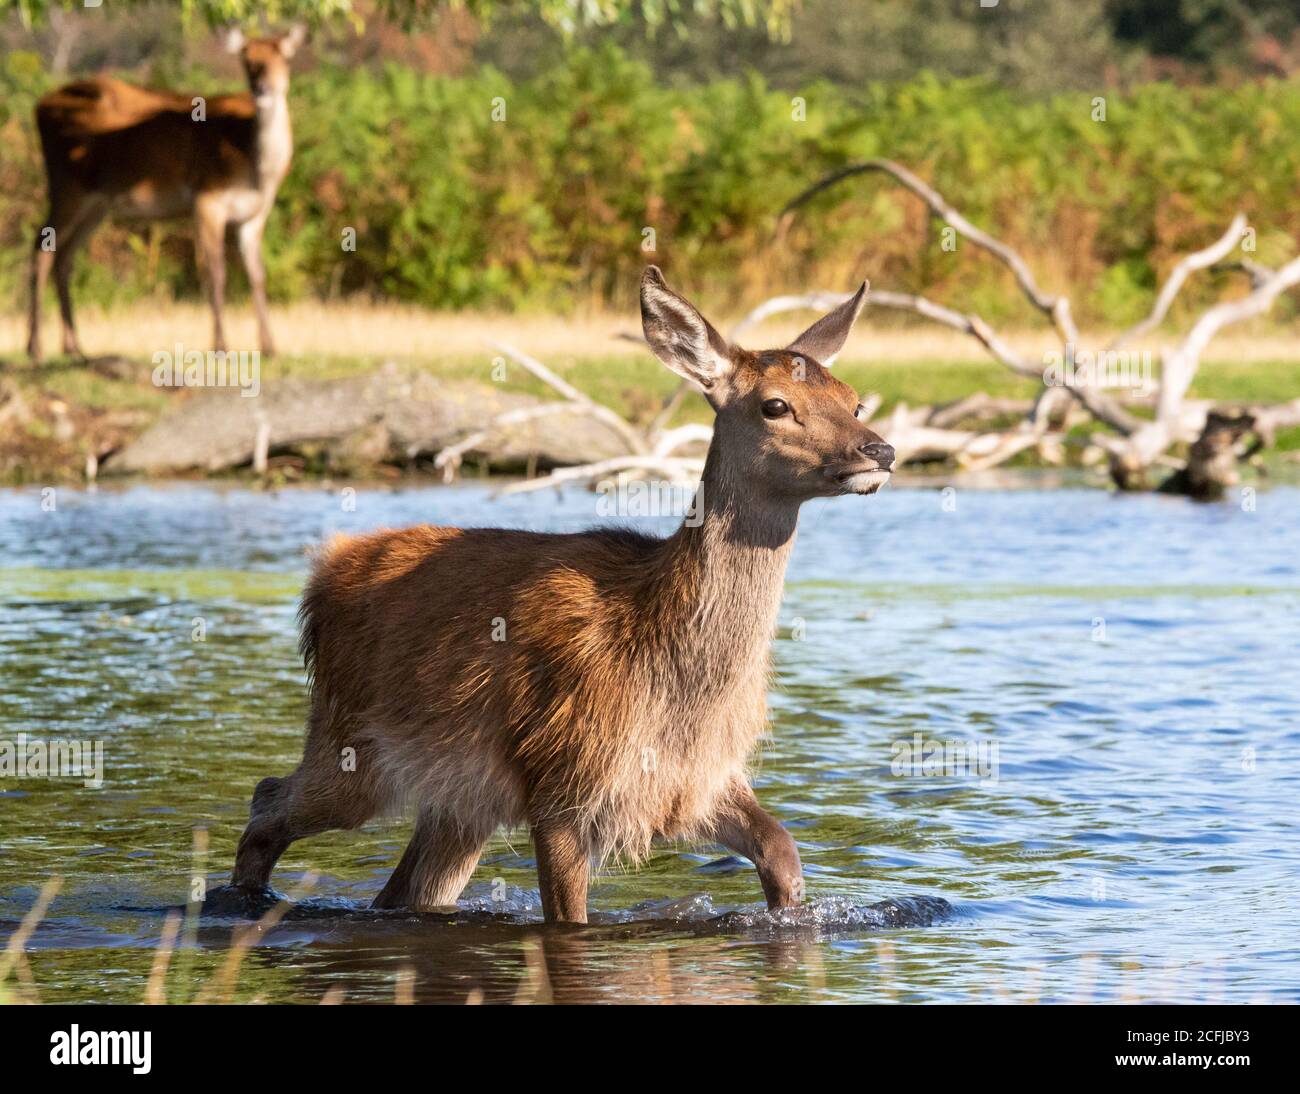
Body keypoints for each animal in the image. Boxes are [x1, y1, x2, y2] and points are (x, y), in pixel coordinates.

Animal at [26, 26, 305, 364]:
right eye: (246, 59)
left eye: (284, 56)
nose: (261, 87)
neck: (256, 170)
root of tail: (39, 107)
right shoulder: (206, 198)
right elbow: (215, 272)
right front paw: (221, 347)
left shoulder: (254, 215)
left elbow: (258, 275)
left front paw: (270, 347)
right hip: (67, 187)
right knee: (40, 248)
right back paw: (35, 347)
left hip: (97, 204)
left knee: (64, 256)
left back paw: (74, 347)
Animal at [214, 267, 894, 924]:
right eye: (775, 405)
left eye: (855, 399)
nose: (880, 449)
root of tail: (323, 573)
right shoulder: (563, 780)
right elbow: (570, 917)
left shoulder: (696, 782)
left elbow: (782, 848)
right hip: (351, 746)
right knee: (266, 800)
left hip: (460, 798)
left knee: (404, 888)